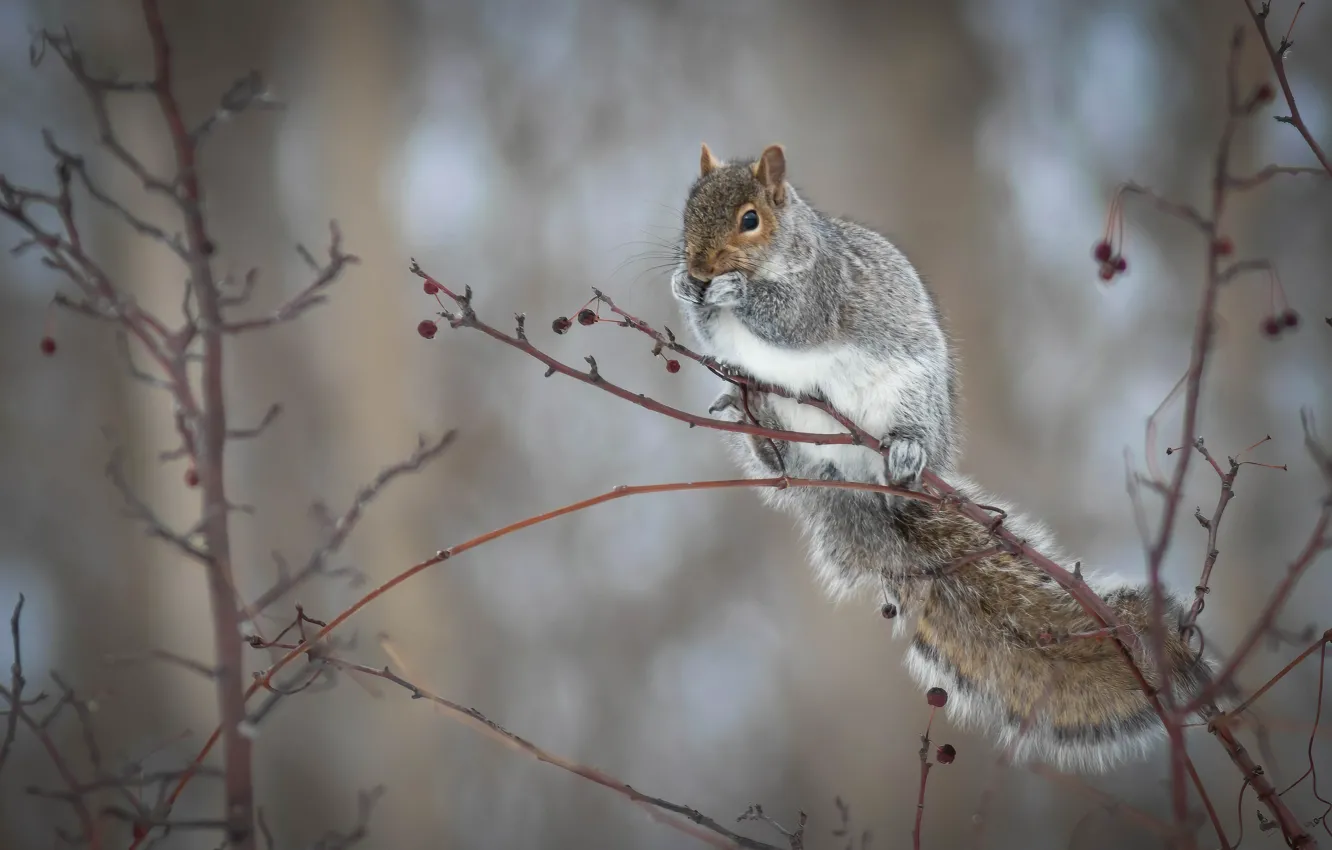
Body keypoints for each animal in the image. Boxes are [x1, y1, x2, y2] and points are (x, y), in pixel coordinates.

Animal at [676, 143, 1220, 778]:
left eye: (750, 219)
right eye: (687, 209)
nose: (699, 266)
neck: (787, 249)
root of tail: (851, 477)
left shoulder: (824, 290)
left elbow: (793, 319)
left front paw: (732, 292)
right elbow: (710, 331)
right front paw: (685, 289)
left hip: (909, 399)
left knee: (899, 436)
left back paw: (904, 448)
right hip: (793, 436)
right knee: (778, 455)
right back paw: (754, 415)